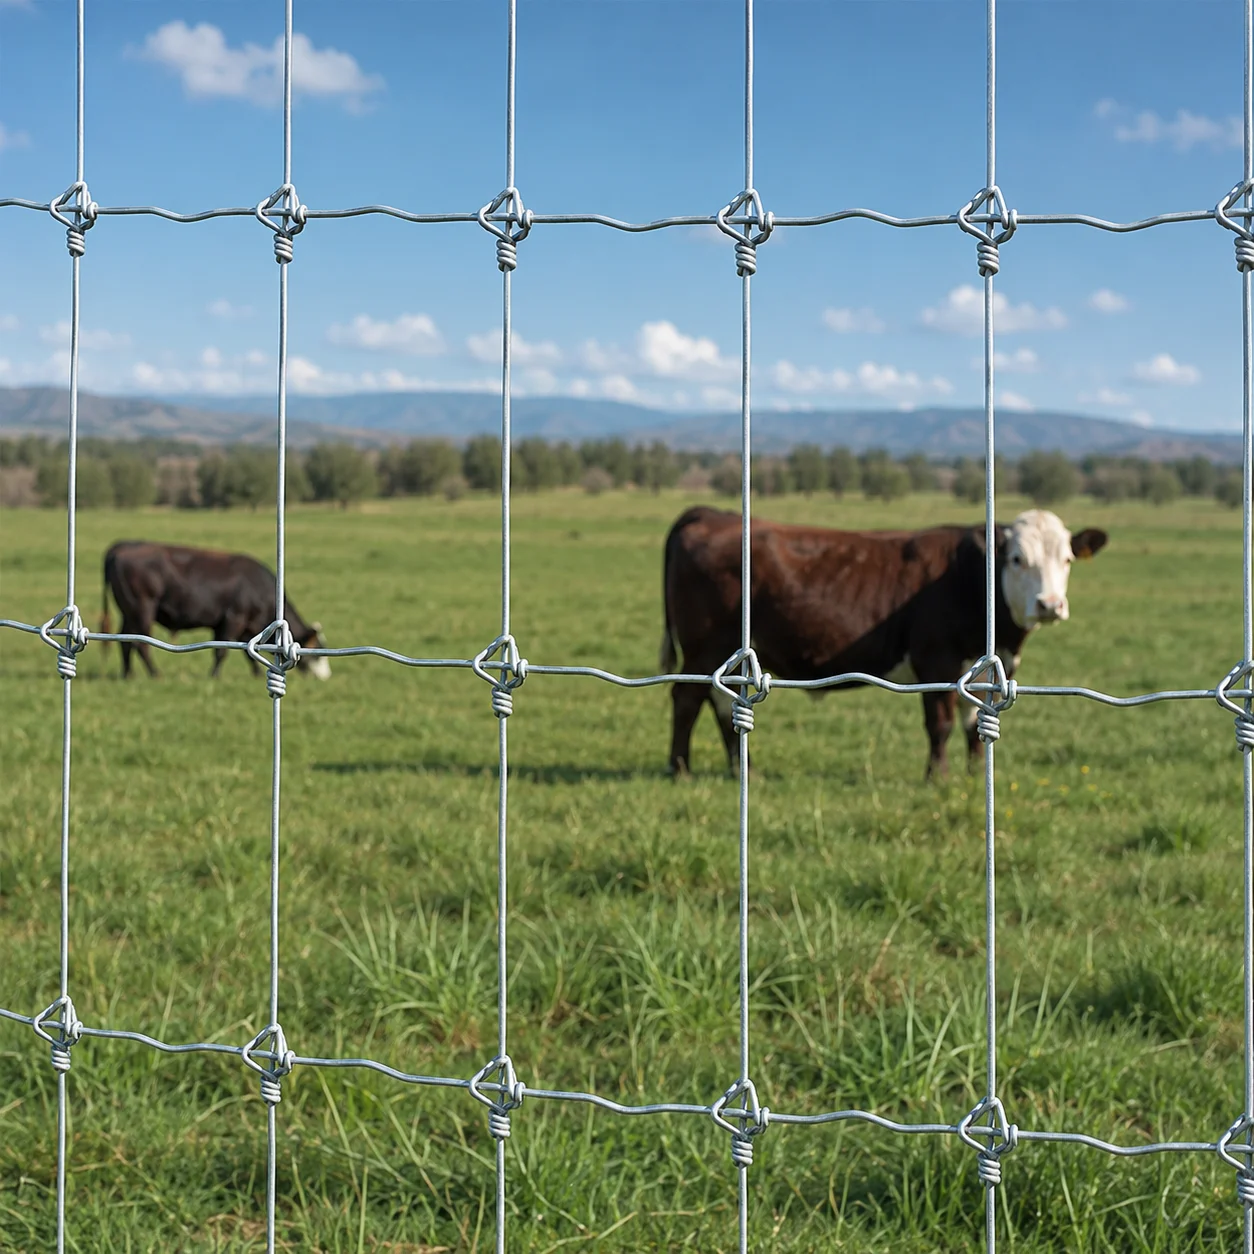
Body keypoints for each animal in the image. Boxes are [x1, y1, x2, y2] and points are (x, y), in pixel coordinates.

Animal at [100, 541, 331, 681]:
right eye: (317, 654)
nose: (326, 676)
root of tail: (122, 548)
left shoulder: (245, 626)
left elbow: (248, 653)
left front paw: (256, 675)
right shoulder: (233, 619)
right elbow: (221, 651)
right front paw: (215, 676)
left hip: (128, 613)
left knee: (125, 641)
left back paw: (127, 674)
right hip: (142, 610)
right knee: (141, 644)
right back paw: (155, 674)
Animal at [660, 506, 1107, 778]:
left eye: (1066, 559)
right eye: (1016, 559)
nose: (1050, 604)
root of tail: (711, 515)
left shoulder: (983, 667)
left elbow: (972, 721)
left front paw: (973, 773)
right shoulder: (937, 659)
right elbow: (941, 723)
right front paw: (938, 778)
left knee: (720, 703)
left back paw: (741, 768)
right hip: (705, 647)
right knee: (686, 698)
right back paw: (681, 769)